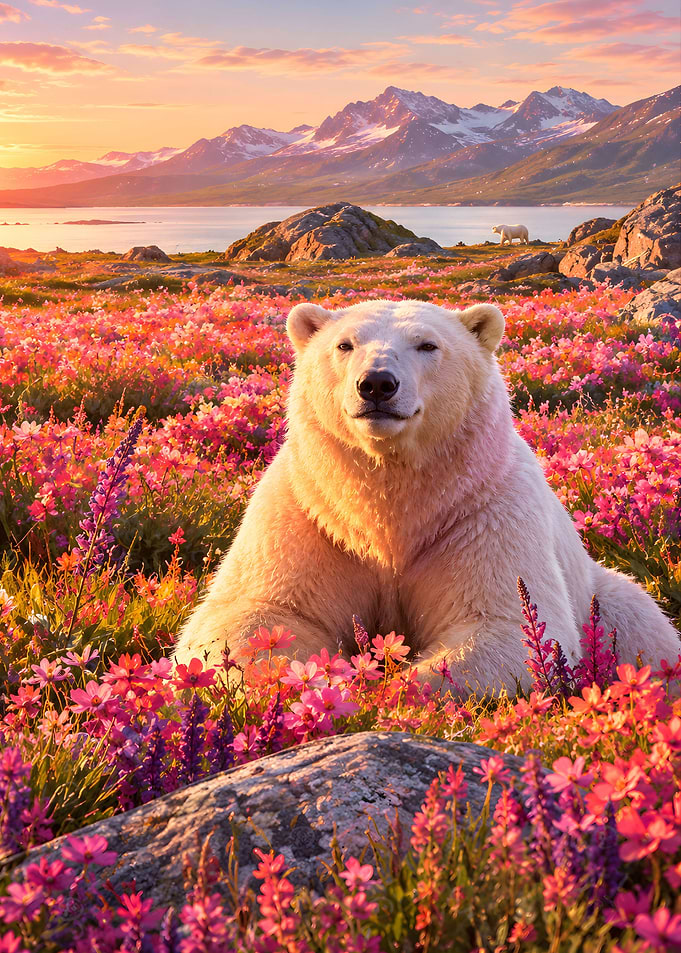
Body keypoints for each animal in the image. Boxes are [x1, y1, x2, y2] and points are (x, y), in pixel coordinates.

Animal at [174, 298, 679, 691]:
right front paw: (322, 682)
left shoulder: (482, 512)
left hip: (604, 598)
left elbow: (506, 624)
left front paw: (397, 689)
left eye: (427, 345)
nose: (377, 384)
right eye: (344, 344)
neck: (391, 507)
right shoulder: (311, 512)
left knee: (640, 624)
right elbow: (257, 614)